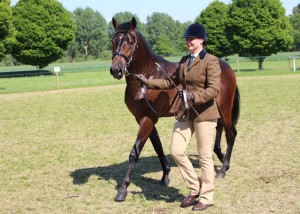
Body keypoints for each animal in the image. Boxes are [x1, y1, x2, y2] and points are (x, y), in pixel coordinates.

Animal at [109, 17, 239, 202]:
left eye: (130, 42)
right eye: (113, 41)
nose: (116, 69)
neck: (148, 74)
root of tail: (226, 66)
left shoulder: (147, 118)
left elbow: (135, 152)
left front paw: (123, 188)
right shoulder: (144, 118)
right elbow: (158, 147)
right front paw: (165, 175)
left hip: (225, 108)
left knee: (231, 134)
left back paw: (223, 169)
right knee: (220, 129)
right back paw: (220, 158)